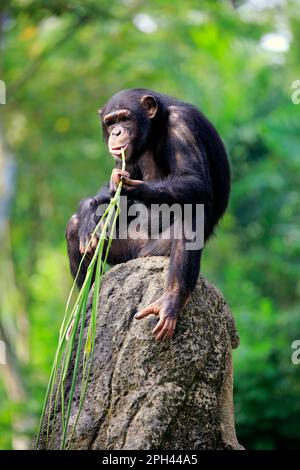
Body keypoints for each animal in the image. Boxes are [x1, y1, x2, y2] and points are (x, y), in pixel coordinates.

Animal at [66, 86, 230, 340]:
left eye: (125, 118)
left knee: (192, 211)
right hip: (128, 253)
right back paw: (85, 310)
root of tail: (143, 253)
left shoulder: (182, 124)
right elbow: (110, 195)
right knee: (75, 227)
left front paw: (130, 186)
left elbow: (194, 180)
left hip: (157, 250)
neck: (154, 130)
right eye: (110, 122)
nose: (116, 132)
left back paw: (172, 298)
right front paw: (89, 209)